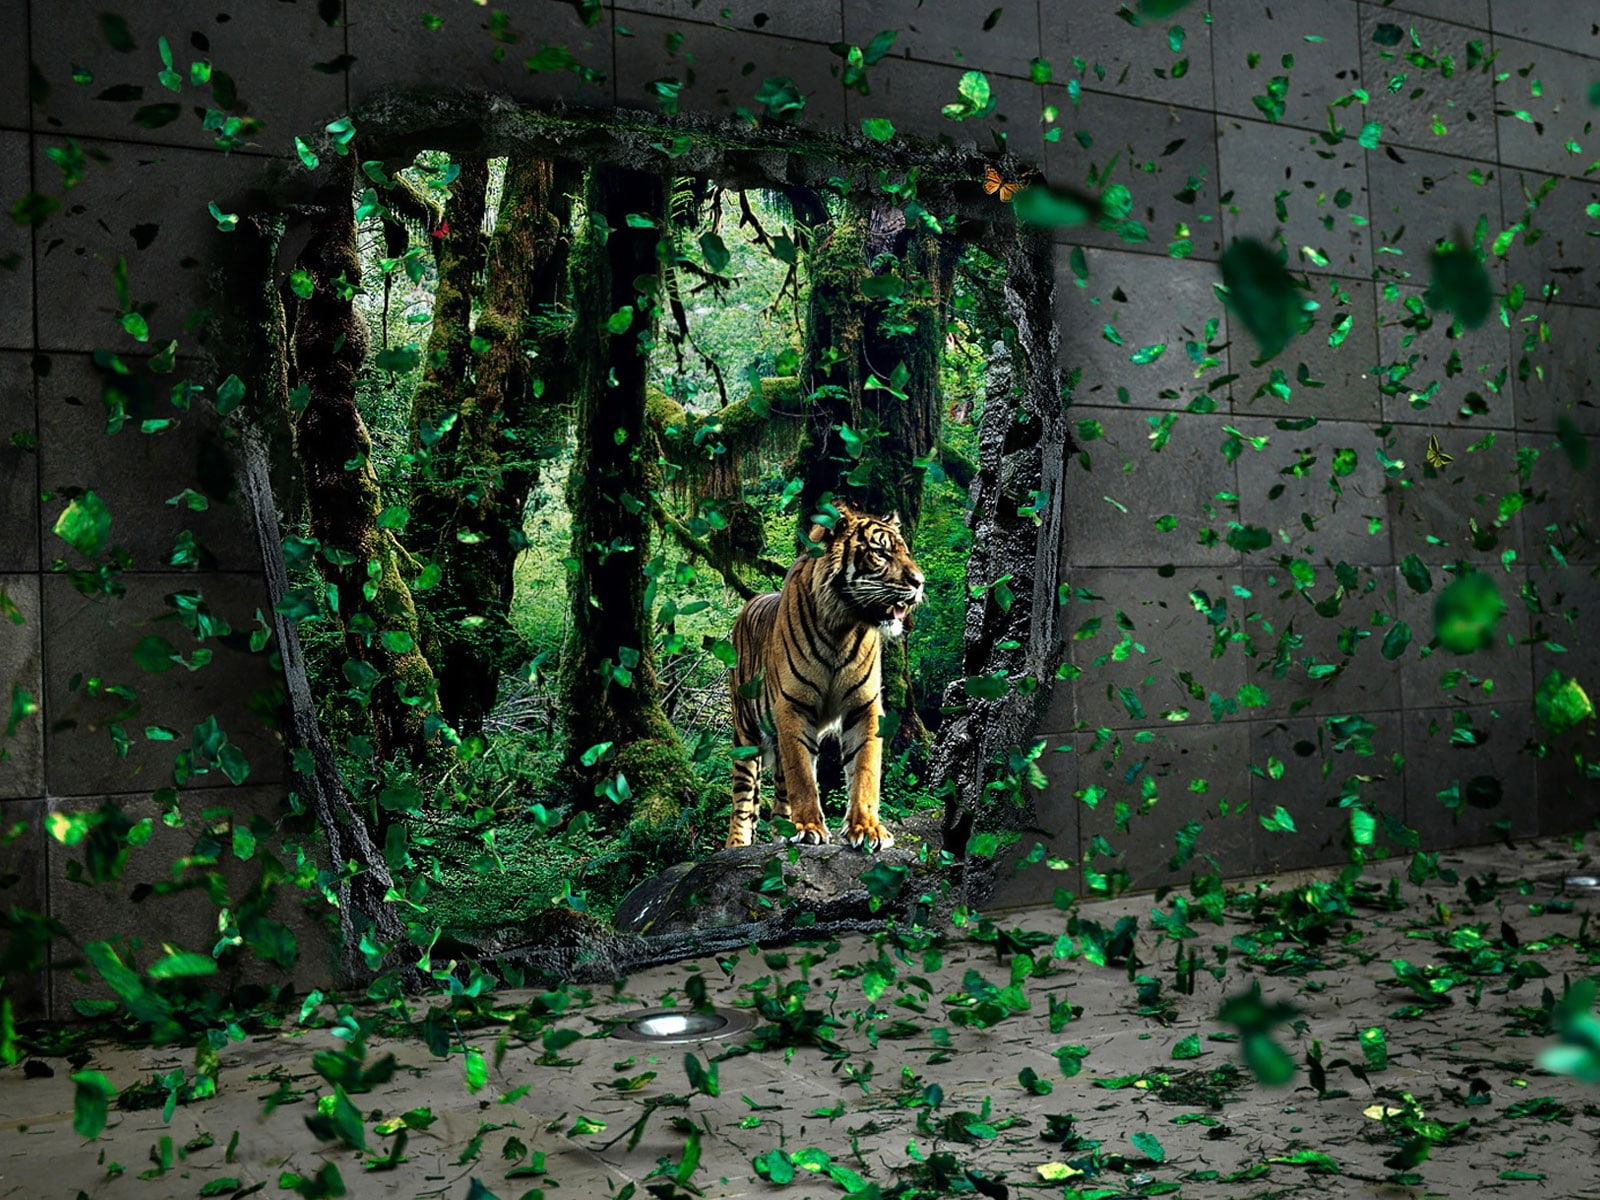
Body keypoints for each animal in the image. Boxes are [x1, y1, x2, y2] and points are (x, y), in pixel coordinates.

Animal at [725, 501, 926, 852]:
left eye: (905, 552)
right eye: (881, 553)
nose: (920, 582)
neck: (841, 627)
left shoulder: (864, 706)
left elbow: (865, 769)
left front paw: (868, 828)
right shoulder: (792, 706)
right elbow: (803, 776)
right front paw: (808, 827)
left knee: (779, 795)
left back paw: (782, 832)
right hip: (746, 733)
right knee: (743, 799)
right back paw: (737, 845)